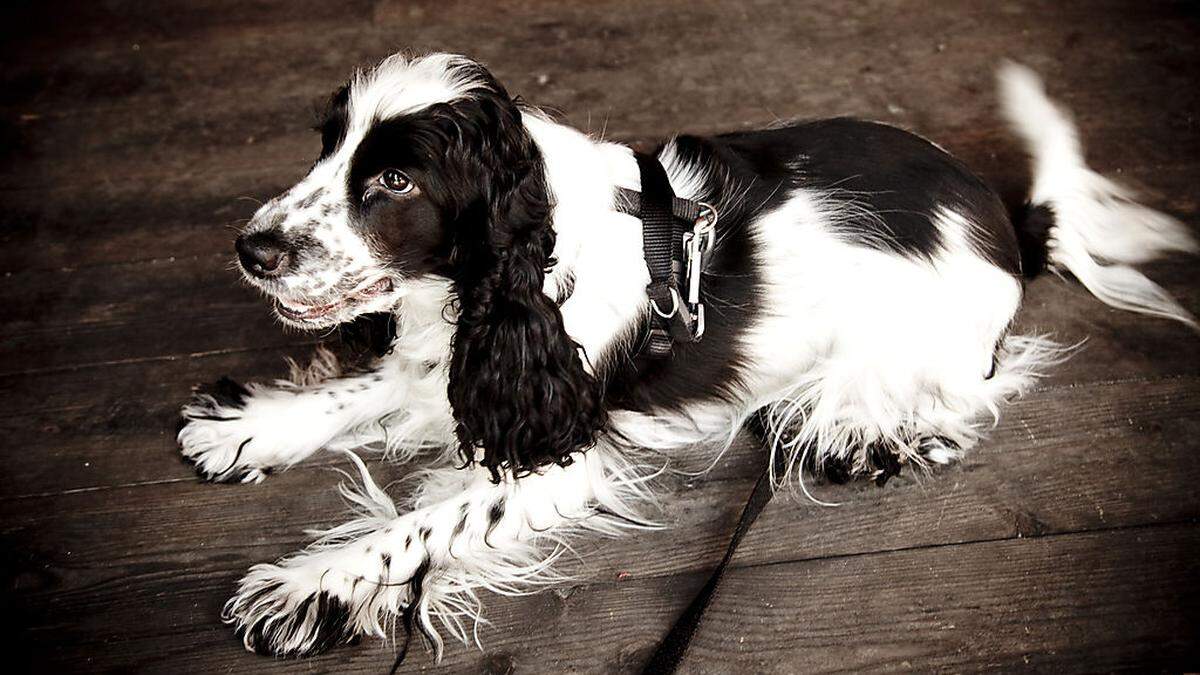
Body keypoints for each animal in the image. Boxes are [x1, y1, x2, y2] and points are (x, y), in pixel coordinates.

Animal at [175, 52, 1190, 658]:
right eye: (329, 150)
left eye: (394, 178)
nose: (251, 248)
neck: (533, 253)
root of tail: (1008, 218)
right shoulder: (453, 355)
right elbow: (362, 389)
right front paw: (248, 429)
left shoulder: (560, 450)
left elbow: (421, 525)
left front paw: (308, 585)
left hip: (915, 343)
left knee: (954, 391)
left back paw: (871, 433)